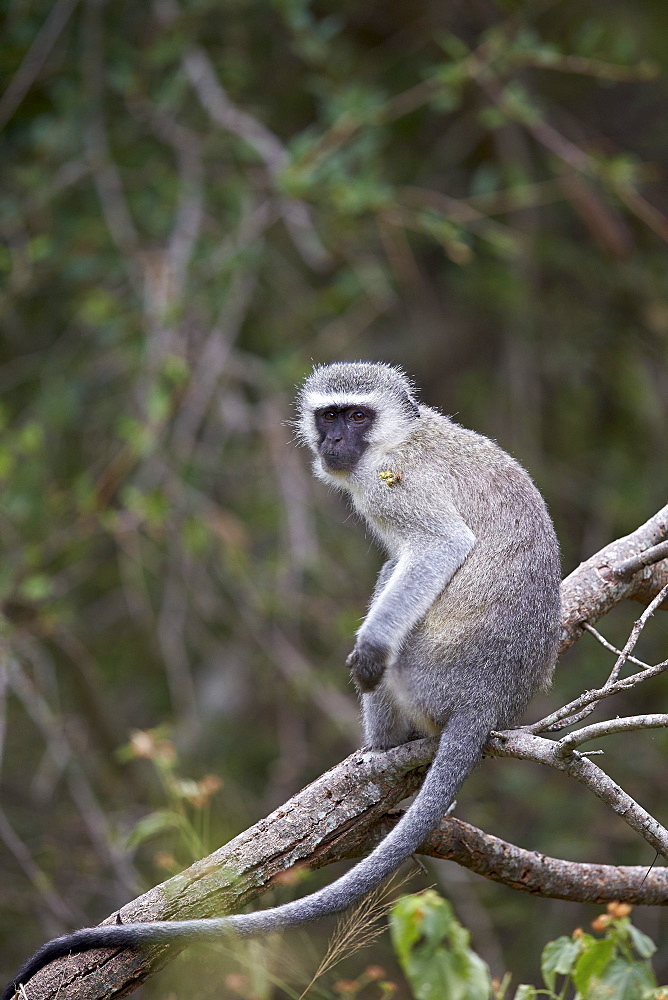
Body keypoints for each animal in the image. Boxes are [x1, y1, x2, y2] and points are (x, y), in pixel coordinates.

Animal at [3, 362, 564, 1000]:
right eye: (330, 415)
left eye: (358, 415)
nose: (335, 440)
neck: (399, 438)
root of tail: (488, 699)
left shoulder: (394, 485)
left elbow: (440, 545)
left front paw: (372, 648)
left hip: (428, 674)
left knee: (394, 585)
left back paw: (381, 745)